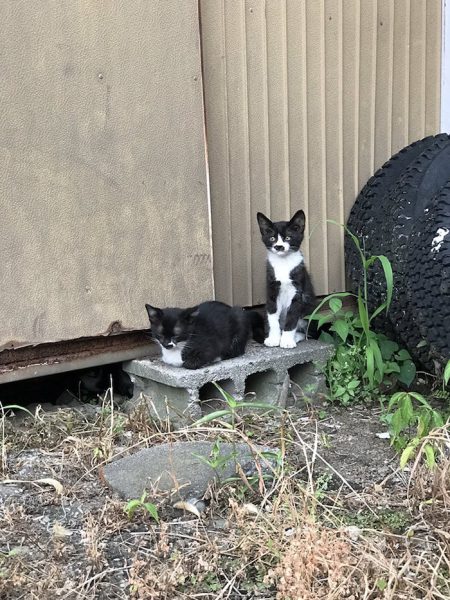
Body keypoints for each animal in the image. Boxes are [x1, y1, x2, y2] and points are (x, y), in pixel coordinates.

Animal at [256, 210, 316, 346]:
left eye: (288, 237)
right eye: (272, 238)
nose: (279, 247)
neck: (283, 263)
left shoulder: (298, 291)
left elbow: (292, 316)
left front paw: (287, 341)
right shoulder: (272, 288)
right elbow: (272, 314)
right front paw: (273, 339)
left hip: (309, 309)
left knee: (308, 332)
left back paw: (296, 337)